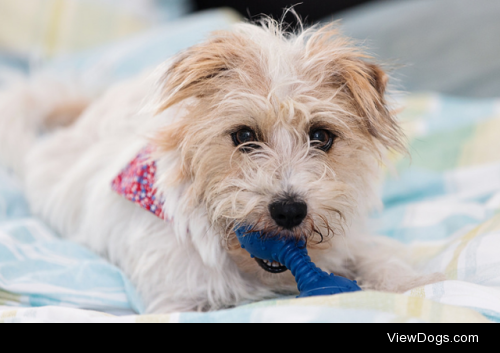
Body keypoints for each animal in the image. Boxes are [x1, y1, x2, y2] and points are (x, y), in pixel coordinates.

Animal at [0, 19, 444, 312]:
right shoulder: (177, 302)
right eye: (244, 135)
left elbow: (376, 256)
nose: (289, 210)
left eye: (321, 136)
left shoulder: (348, 242)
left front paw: (416, 283)